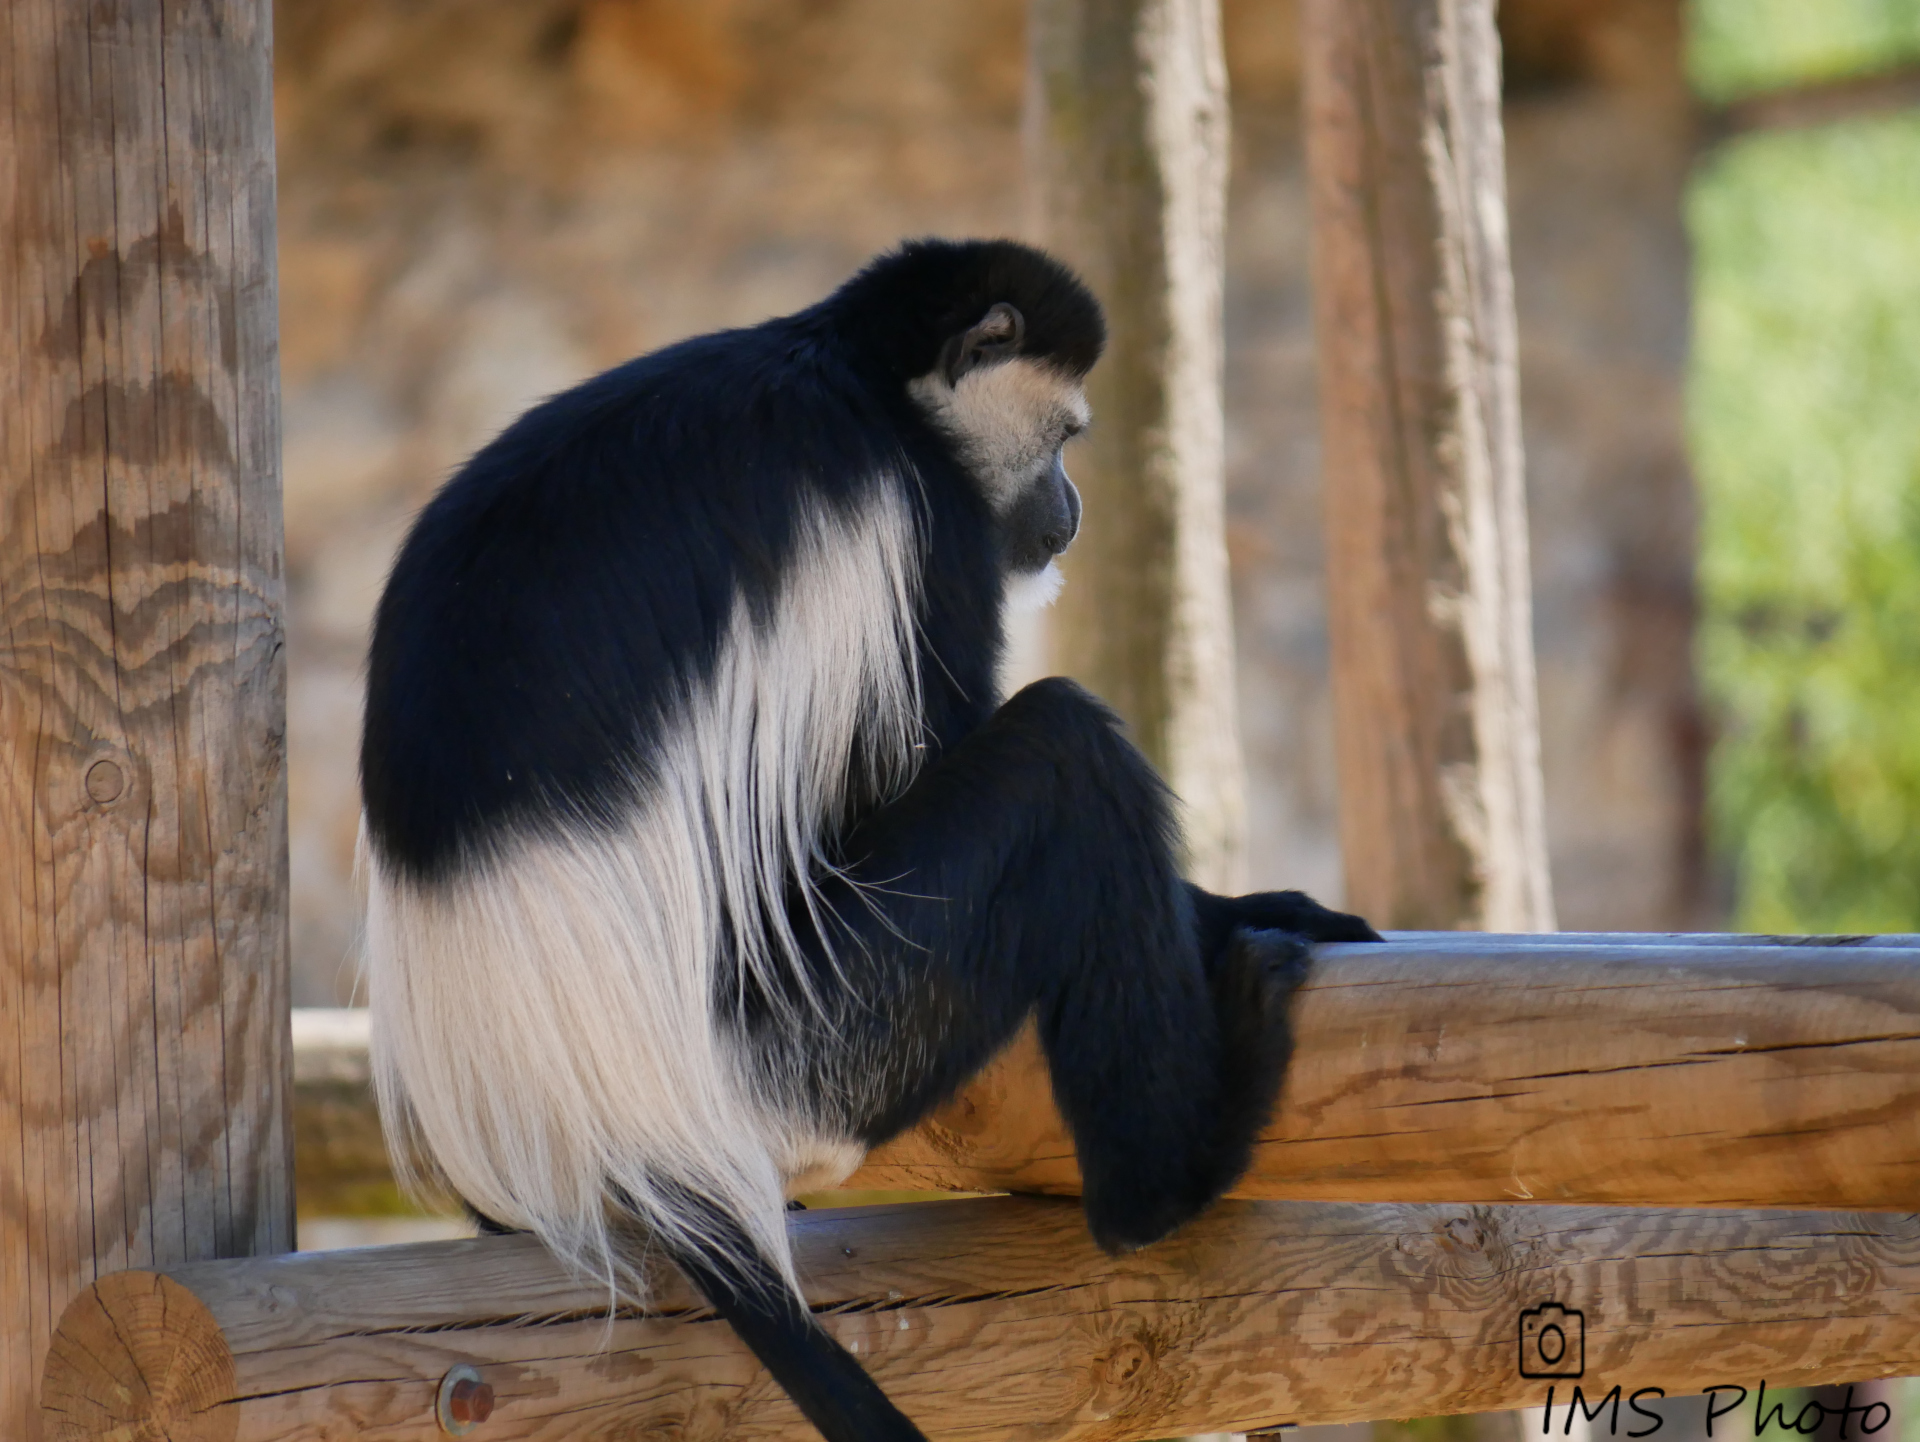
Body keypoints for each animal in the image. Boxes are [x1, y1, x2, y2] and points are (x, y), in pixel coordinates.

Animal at [360, 240, 1382, 1442]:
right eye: (1065, 435)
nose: (1071, 508)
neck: (869, 379)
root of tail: (611, 1125)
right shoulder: (922, 526)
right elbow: (914, 757)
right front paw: (1242, 909)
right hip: (823, 1037)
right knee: (1062, 755)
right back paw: (1166, 1182)